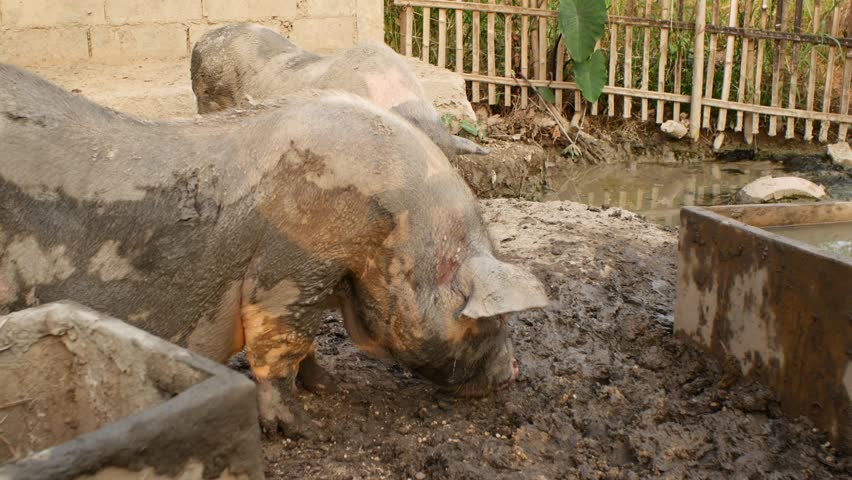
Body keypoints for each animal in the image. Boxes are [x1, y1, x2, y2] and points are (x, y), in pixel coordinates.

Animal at [0, 64, 548, 438]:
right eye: (492, 319)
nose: (515, 372)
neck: (395, 231)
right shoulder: (295, 261)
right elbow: (280, 340)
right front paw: (304, 429)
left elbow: (309, 343)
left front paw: (329, 387)